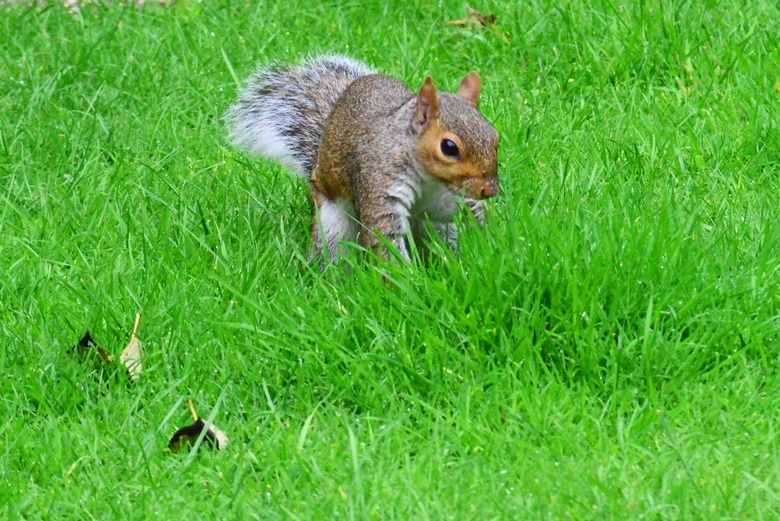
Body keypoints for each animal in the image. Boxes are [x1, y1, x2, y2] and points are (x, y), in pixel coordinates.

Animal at [225, 54, 500, 262]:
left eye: (495, 136)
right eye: (449, 147)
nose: (490, 191)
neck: (431, 181)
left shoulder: (451, 200)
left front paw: (489, 248)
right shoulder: (378, 182)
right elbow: (385, 237)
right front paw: (407, 284)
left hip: (437, 227)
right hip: (331, 225)